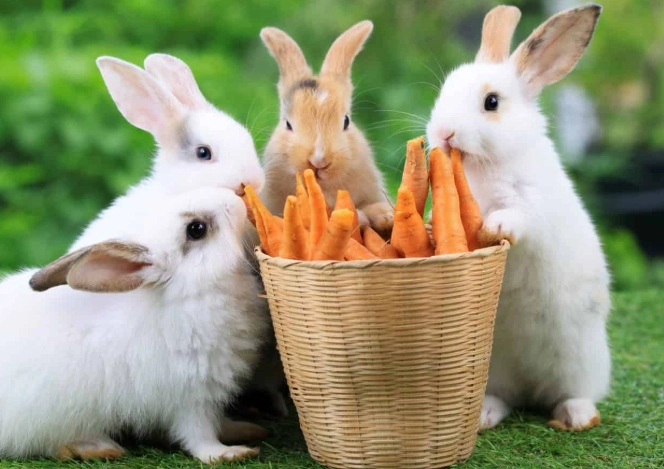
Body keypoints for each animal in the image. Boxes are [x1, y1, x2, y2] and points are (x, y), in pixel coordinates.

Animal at [0, 186, 271, 463]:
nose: (235, 198)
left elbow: (220, 421)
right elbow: (199, 434)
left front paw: (245, 429)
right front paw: (228, 453)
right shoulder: (190, 395)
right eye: (196, 229)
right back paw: (100, 447)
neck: (189, 293)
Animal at [426, 4, 611, 432]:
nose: (443, 133)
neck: (485, 166)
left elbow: (517, 217)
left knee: (575, 393)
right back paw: (485, 416)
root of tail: (531, 387)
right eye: (443, 93)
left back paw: (576, 416)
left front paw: (494, 227)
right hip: (495, 370)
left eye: (491, 102)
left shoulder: (532, 203)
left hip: (583, 361)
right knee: (504, 398)